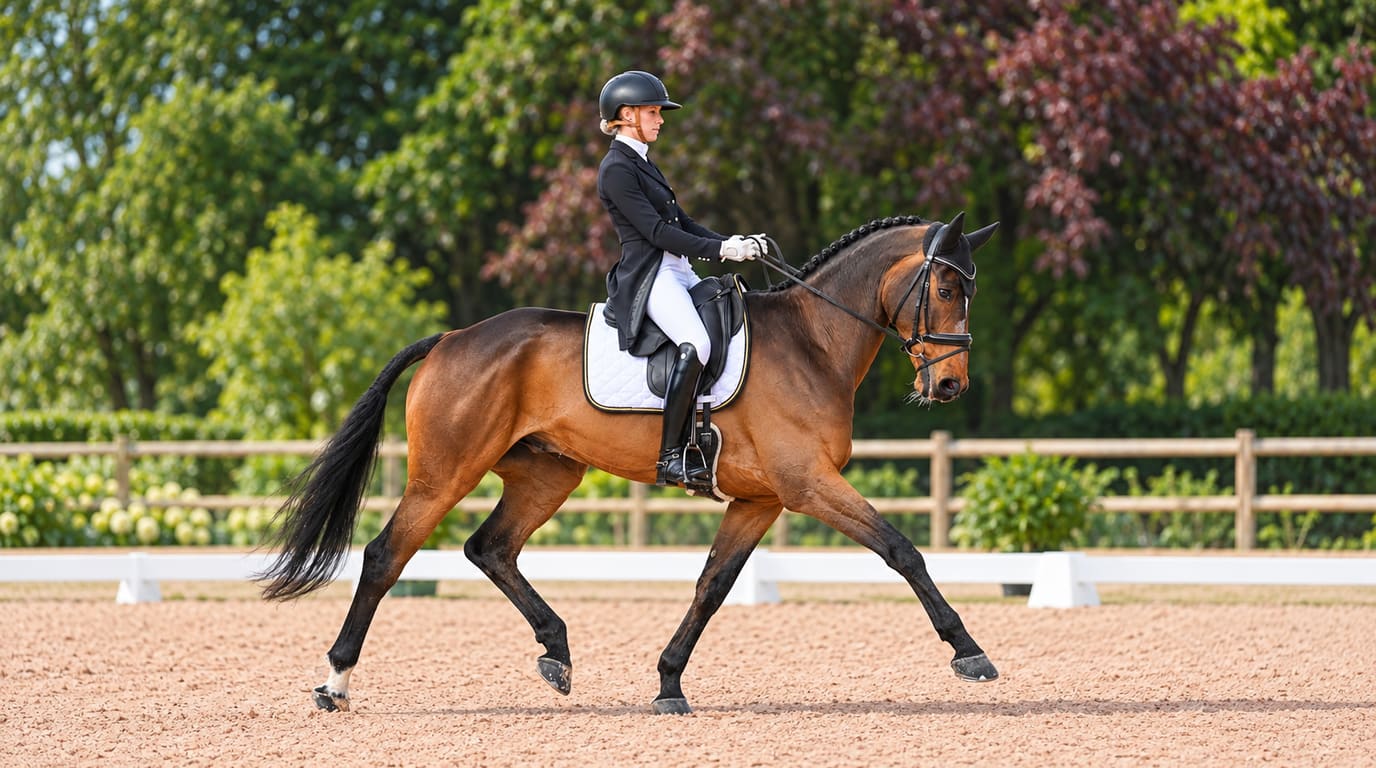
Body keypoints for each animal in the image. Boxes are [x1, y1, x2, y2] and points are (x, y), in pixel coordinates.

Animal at [259, 212, 1001, 715]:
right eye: (945, 290)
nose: (949, 386)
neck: (812, 343)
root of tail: (450, 338)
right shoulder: (807, 483)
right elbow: (902, 550)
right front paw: (970, 652)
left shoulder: (760, 499)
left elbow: (711, 586)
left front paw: (669, 682)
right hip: (446, 473)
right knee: (387, 554)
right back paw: (335, 683)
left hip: (549, 472)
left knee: (489, 547)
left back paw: (556, 653)